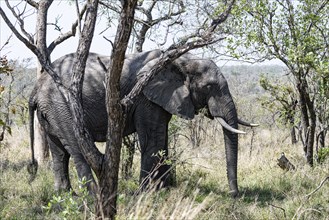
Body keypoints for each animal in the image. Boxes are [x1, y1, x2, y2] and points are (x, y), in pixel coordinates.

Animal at [28, 49, 256, 197]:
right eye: (209, 86)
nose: (234, 194)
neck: (182, 60)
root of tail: (35, 89)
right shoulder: (146, 97)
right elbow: (153, 140)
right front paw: (145, 193)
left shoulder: (161, 99)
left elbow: (162, 141)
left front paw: (163, 190)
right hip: (61, 104)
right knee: (76, 148)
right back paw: (93, 195)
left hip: (51, 110)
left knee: (59, 151)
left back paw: (65, 194)